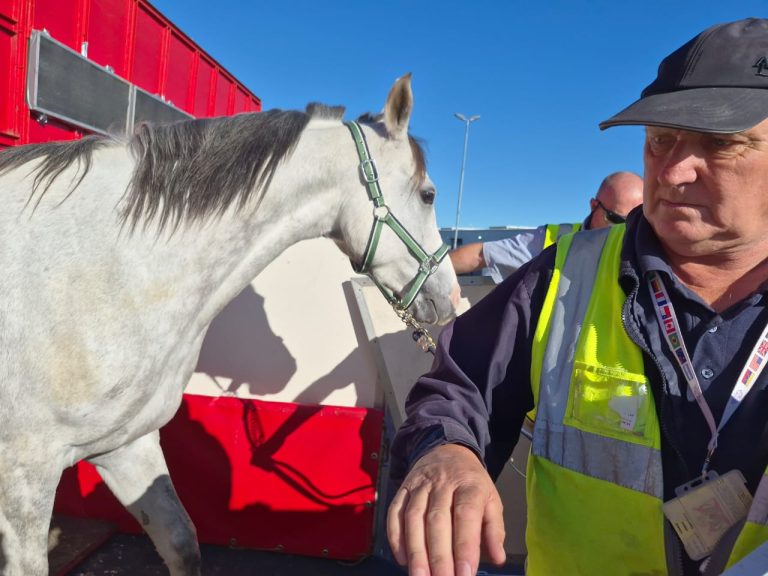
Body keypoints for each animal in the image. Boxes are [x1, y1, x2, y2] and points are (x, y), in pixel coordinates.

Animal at [0, 74, 459, 576]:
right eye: (429, 194)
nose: (452, 297)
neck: (107, 271)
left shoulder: (127, 445)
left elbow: (181, 540)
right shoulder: (25, 474)